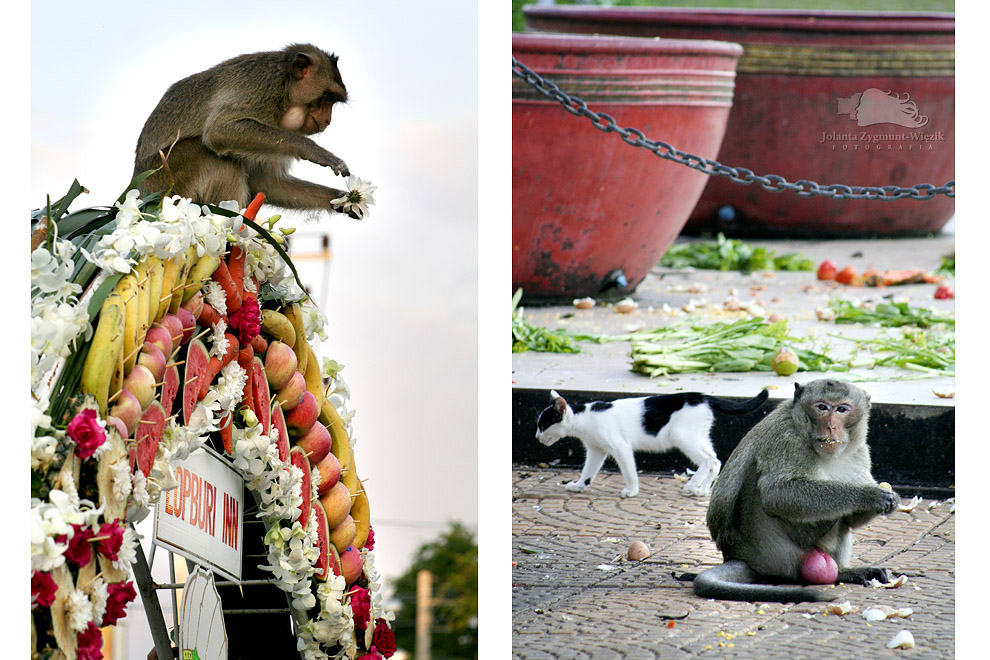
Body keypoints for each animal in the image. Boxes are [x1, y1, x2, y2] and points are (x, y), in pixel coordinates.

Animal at [134, 44, 362, 219]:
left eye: (333, 101)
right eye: (328, 98)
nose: (328, 120)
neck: (286, 89)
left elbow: (268, 184)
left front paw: (341, 200)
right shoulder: (264, 89)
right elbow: (219, 131)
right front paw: (314, 151)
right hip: (166, 180)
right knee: (212, 156)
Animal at [540, 390, 772, 498]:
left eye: (543, 425)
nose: (537, 436)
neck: (584, 417)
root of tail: (702, 396)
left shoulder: (621, 447)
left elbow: (629, 472)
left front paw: (632, 491)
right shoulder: (596, 450)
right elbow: (588, 471)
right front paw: (579, 486)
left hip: (682, 436)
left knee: (708, 461)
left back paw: (692, 486)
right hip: (699, 437)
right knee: (715, 460)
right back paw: (701, 489)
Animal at [692, 378, 904, 600]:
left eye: (842, 409)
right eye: (822, 407)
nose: (831, 426)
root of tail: (738, 556)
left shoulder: (860, 452)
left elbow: (851, 520)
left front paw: (892, 500)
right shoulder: (785, 438)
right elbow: (779, 492)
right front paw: (869, 496)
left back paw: (844, 572)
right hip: (772, 552)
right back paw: (813, 533)